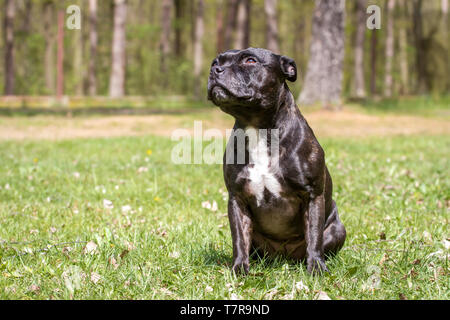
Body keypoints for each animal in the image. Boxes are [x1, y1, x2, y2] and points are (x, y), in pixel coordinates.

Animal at [207, 47, 344, 276]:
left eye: (250, 60)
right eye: (215, 62)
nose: (215, 70)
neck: (258, 128)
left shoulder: (312, 196)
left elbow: (314, 237)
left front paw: (316, 268)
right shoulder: (237, 198)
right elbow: (239, 239)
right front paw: (239, 269)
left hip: (337, 229)